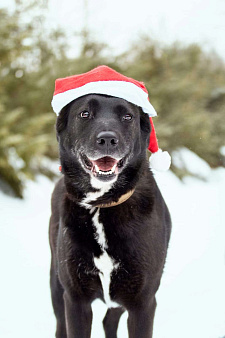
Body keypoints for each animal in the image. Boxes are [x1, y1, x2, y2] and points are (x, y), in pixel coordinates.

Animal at [48, 93, 171, 336]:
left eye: (128, 116)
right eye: (85, 113)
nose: (107, 140)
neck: (101, 204)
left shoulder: (142, 303)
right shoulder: (75, 300)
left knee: (109, 320)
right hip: (56, 285)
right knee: (61, 326)